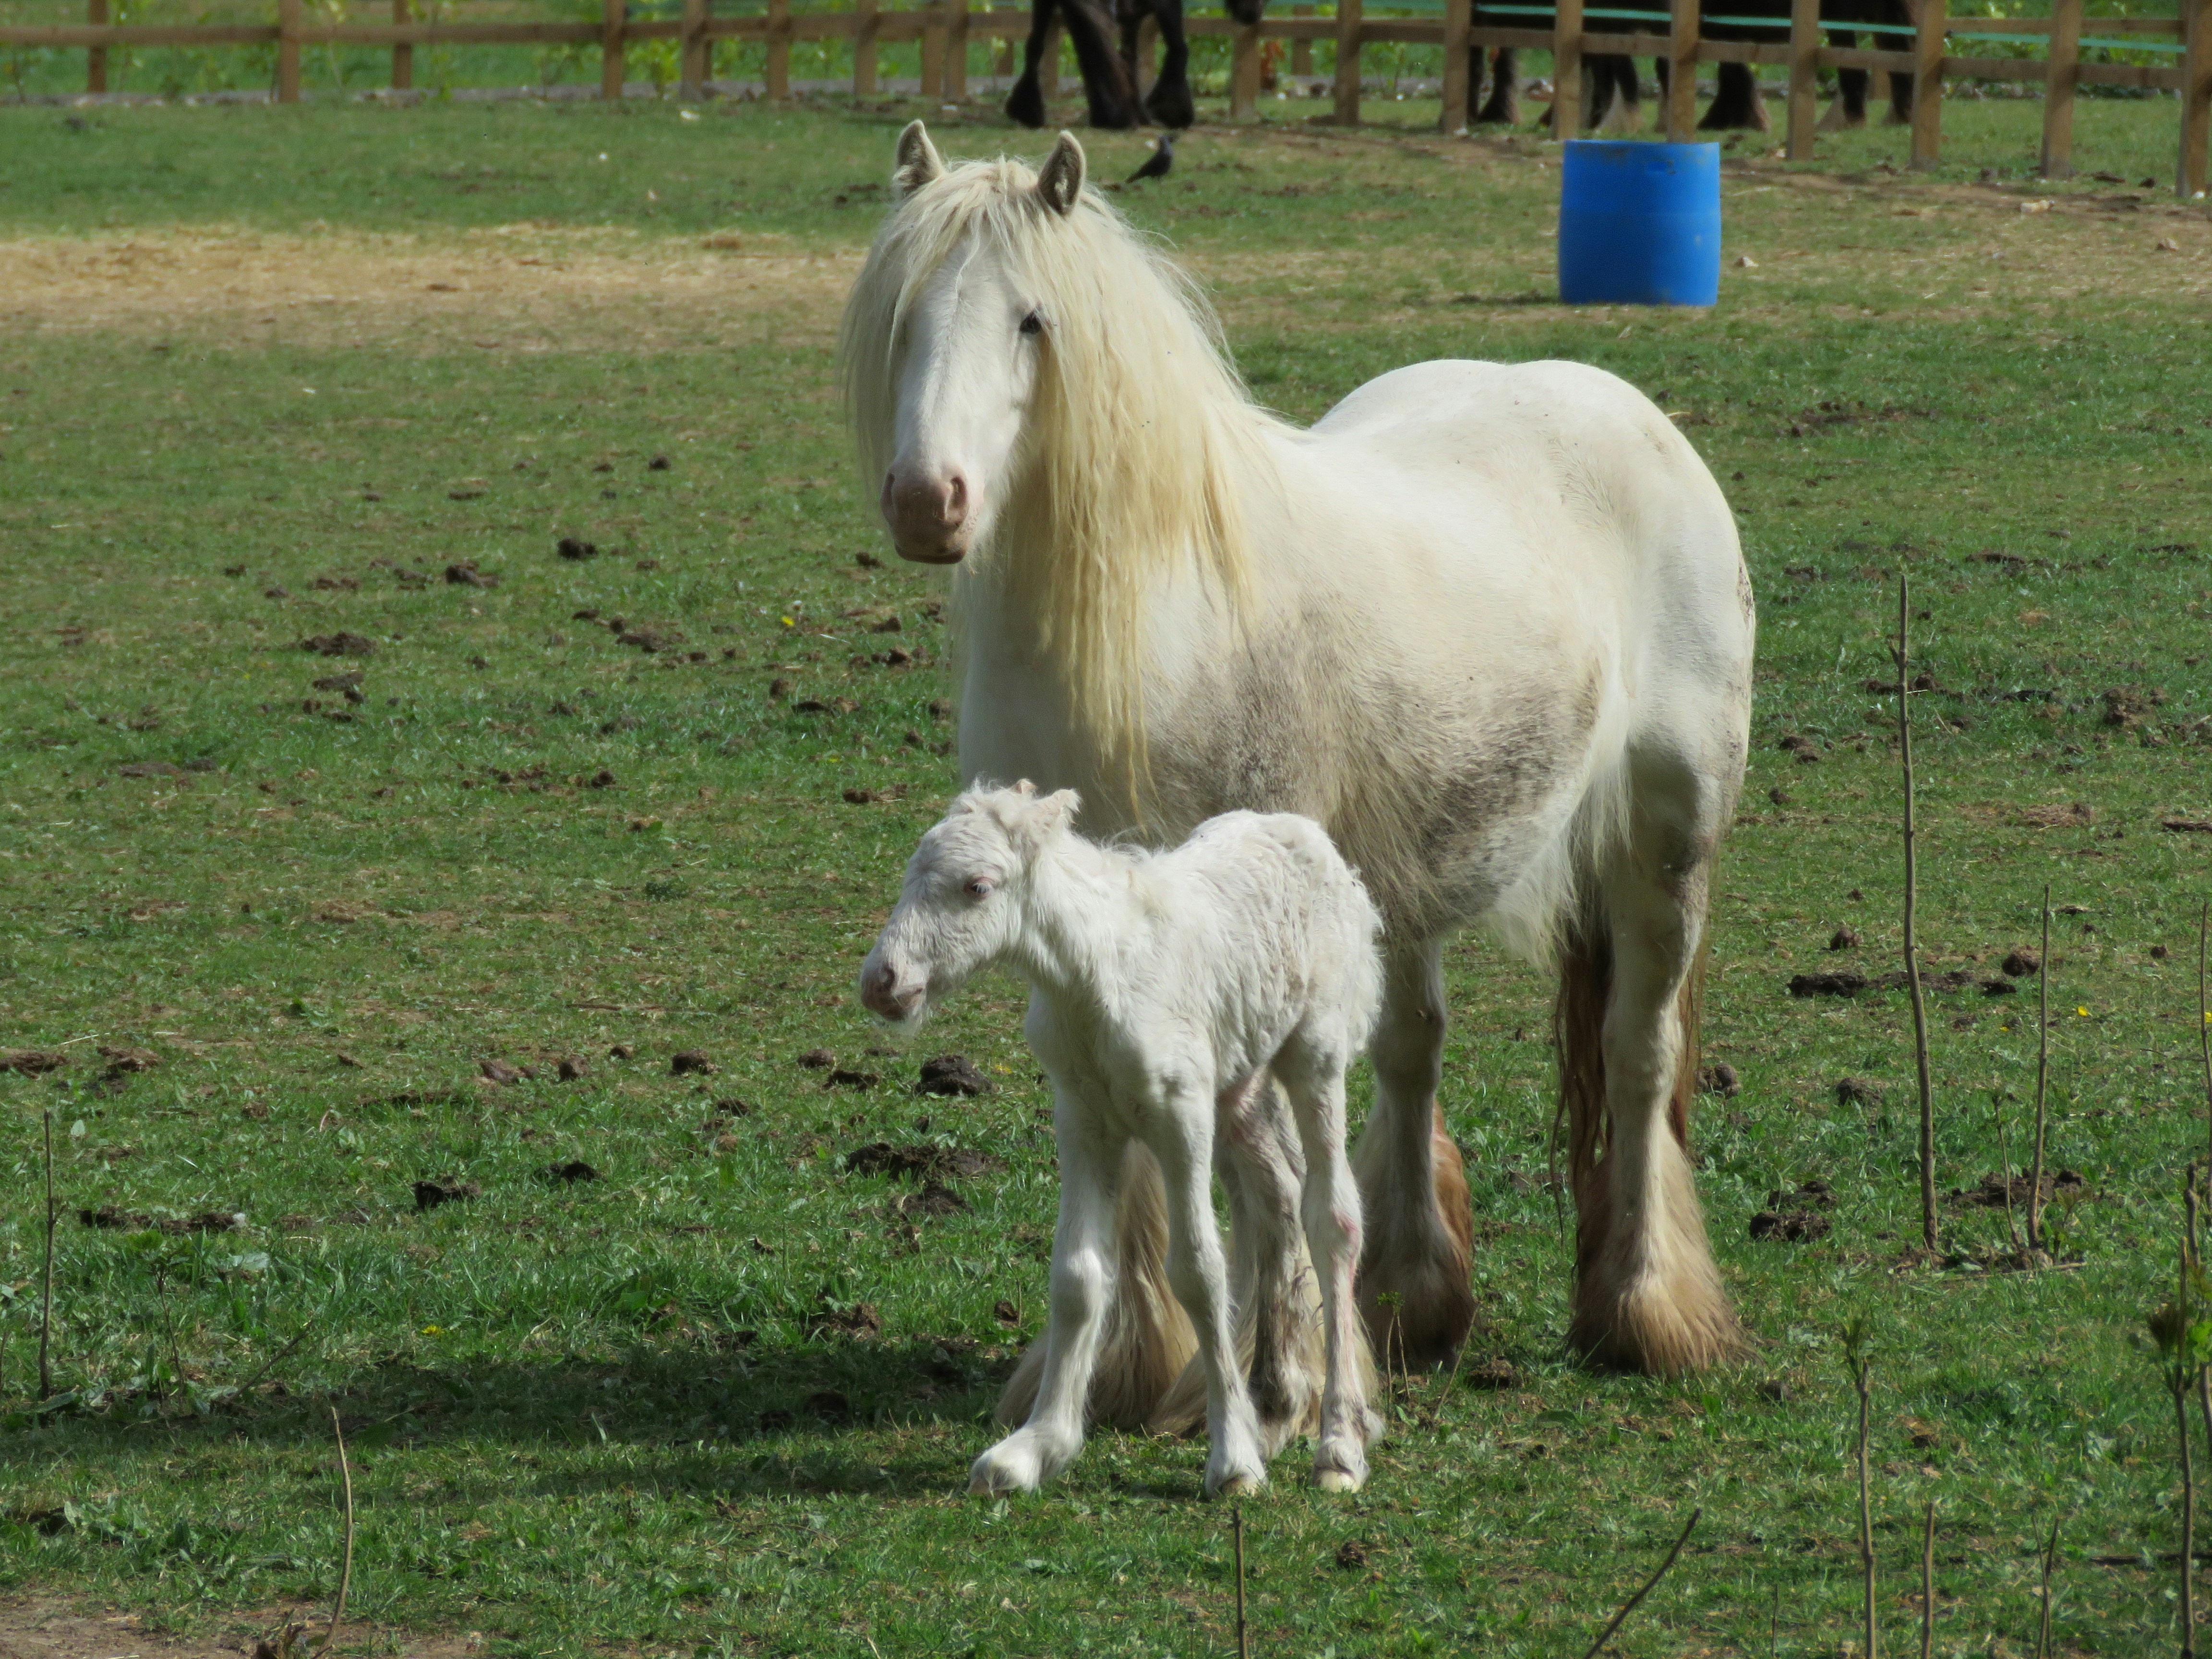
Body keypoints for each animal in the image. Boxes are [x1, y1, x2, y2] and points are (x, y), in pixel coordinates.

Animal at [839, 124, 1756, 1423]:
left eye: (1031, 320)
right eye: (905, 315)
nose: (930, 502)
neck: (1154, 625)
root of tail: (1625, 406)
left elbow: (1257, 1160)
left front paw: (1282, 1374)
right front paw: (1129, 1366)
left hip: (1668, 842)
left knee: (1637, 1054)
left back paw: (1642, 1308)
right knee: (1414, 1050)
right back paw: (1413, 1295)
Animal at [860, 783, 1384, 1496]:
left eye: (977, 887)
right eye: (910, 874)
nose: (881, 982)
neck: (1092, 979)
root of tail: (1302, 832)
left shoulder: (1181, 1117)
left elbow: (1197, 1271)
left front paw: (1233, 1463)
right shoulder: (1084, 1122)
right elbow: (1077, 1276)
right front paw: (1034, 1449)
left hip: (1316, 1053)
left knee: (1332, 1218)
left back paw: (1338, 1446)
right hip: (1237, 1079)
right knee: (1274, 1198)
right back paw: (1274, 1407)